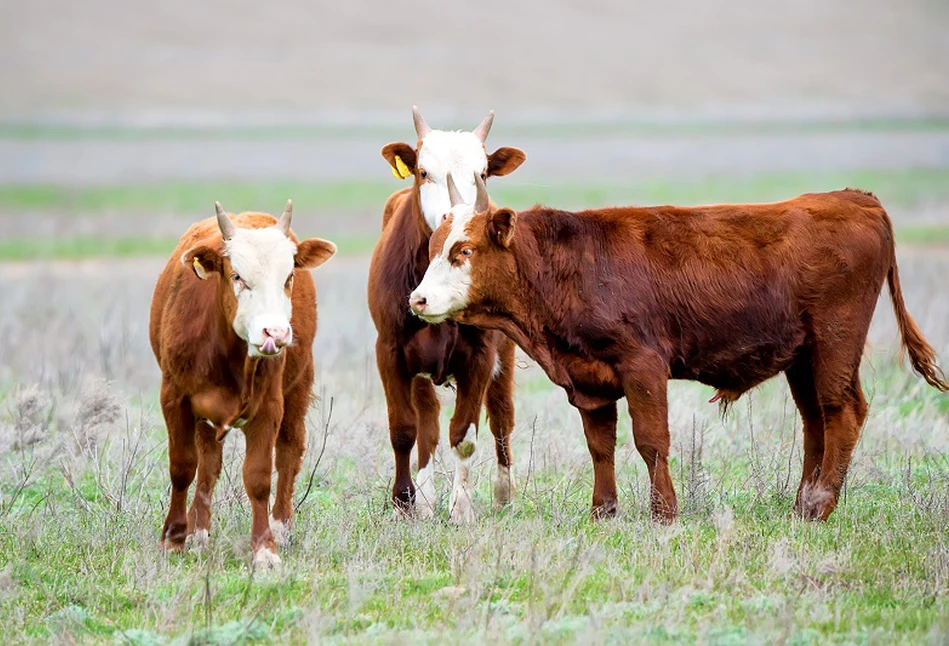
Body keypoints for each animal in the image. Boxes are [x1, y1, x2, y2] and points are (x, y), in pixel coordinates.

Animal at [148, 201, 336, 568]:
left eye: (289, 277)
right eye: (237, 276)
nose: (275, 332)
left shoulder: (269, 408)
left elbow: (259, 477)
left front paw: (265, 549)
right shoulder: (174, 399)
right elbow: (183, 467)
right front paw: (174, 538)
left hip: (298, 386)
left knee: (289, 452)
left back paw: (281, 526)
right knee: (208, 463)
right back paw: (199, 530)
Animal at [366, 105, 524, 520]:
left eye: (482, 174)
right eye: (423, 171)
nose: (455, 218)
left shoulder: (481, 355)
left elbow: (464, 434)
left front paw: (462, 508)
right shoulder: (390, 350)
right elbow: (405, 429)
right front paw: (404, 501)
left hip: (505, 355)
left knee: (501, 416)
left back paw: (504, 492)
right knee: (427, 420)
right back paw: (424, 498)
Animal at [410, 175, 948, 524]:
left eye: (463, 251)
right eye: (432, 249)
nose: (418, 299)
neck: (568, 266)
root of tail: (857, 199)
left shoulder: (643, 365)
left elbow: (651, 441)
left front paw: (663, 513)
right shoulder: (589, 376)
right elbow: (600, 445)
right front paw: (603, 511)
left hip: (836, 342)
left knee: (843, 413)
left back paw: (819, 506)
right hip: (803, 357)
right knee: (815, 420)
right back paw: (802, 504)